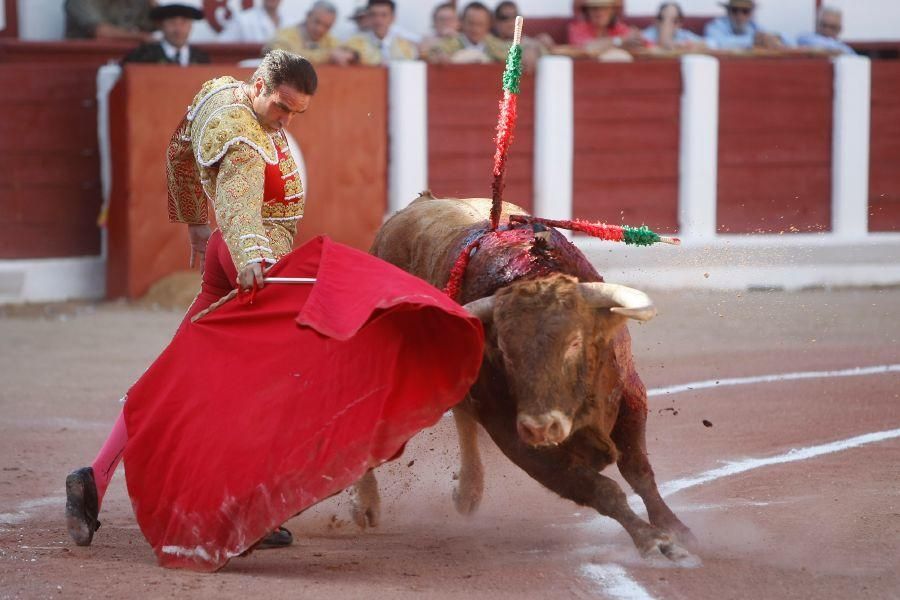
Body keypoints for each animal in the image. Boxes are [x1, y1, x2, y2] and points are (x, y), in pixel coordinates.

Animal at [350, 193, 696, 564]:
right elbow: (599, 489)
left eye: (575, 342)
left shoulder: (630, 395)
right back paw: (366, 505)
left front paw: (676, 530)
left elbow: (638, 470)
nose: (541, 427)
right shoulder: (515, 437)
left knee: (462, 415)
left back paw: (468, 493)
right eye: (504, 350)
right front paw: (654, 540)